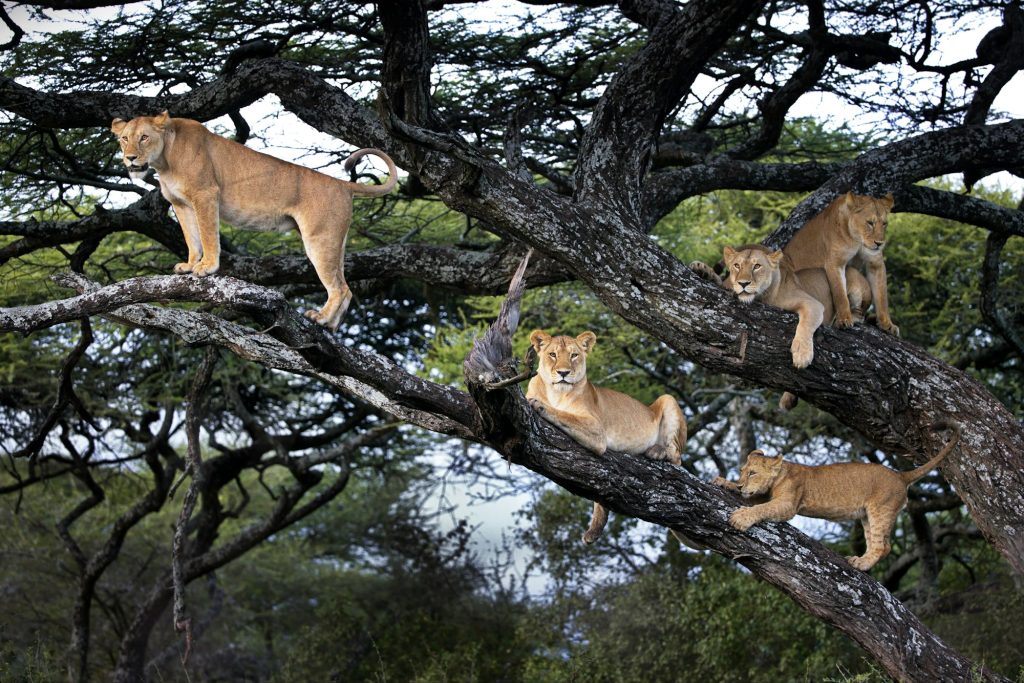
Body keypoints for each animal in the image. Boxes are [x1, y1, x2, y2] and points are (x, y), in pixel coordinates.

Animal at [110, 111, 397, 329]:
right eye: (124, 139)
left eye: (144, 137)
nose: (130, 158)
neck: (165, 160)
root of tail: (342, 184)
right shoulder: (181, 205)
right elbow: (192, 239)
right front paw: (190, 265)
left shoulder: (206, 194)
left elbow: (208, 235)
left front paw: (206, 267)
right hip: (335, 240)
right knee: (346, 286)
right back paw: (331, 326)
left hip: (320, 238)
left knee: (339, 288)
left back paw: (321, 319)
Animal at [528, 331, 688, 544]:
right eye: (552, 354)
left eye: (574, 355)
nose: (563, 373)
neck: (556, 393)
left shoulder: (597, 430)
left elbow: (565, 415)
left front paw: (539, 404)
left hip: (668, 399)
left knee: (677, 458)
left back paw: (657, 451)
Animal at [712, 421, 958, 573]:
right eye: (742, 471)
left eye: (752, 473)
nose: (741, 483)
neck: (781, 473)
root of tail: (900, 474)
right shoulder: (767, 497)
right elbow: (754, 501)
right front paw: (724, 483)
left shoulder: (788, 504)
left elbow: (760, 508)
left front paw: (740, 518)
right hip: (867, 515)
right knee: (877, 542)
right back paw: (860, 560)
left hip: (881, 509)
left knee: (883, 547)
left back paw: (860, 564)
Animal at [782, 191, 897, 335]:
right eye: (870, 223)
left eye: (884, 224)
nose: (879, 243)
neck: (858, 240)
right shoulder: (835, 262)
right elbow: (840, 294)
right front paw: (844, 320)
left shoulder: (875, 263)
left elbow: (882, 297)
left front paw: (887, 324)